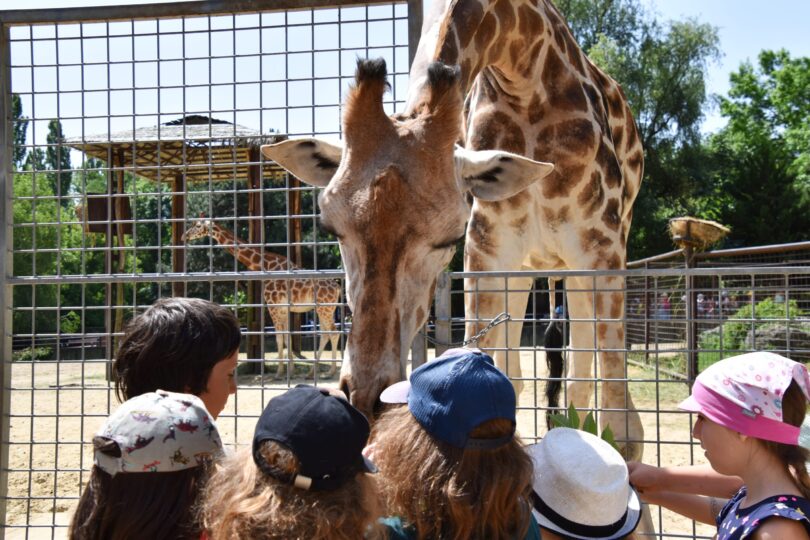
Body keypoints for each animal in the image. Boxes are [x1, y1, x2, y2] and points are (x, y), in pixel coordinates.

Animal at [181, 217, 342, 378]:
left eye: (198, 225)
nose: (184, 236)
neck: (265, 265)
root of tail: (337, 287)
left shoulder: (273, 305)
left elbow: (279, 337)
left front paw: (279, 373)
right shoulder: (282, 308)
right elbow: (287, 337)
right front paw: (290, 371)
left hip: (325, 308)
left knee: (333, 332)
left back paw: (331, 372)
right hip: (325, 308)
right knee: (326, 334)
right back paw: (312, 372)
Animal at [264, 0, 644, 460]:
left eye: (446, 238)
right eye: (330, 226)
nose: (366, 395)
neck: (525, 74)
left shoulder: (600, 247)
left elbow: (621, 422)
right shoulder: (488, 251)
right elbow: (496, 373)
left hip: (578, 263)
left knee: (581, 374)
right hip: (525, 269)